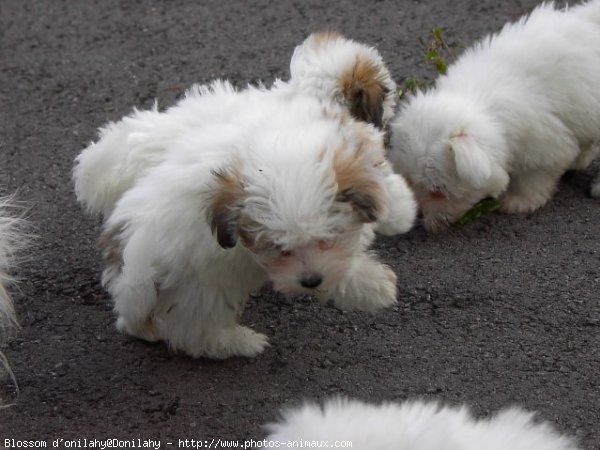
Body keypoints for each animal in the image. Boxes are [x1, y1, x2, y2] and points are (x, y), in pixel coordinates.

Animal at [74, 32, 418, 358]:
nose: (393, 99)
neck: (303, 94)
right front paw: (400, 219)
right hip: (203, 287)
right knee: (194, 331)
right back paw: (237, 343)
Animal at [390, 0, 600, 232]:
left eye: (438, 190)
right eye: (409, 180)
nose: (419, 217)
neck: (481, 102)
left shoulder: (546, 146)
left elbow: (533, 178)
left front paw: (518, 201)